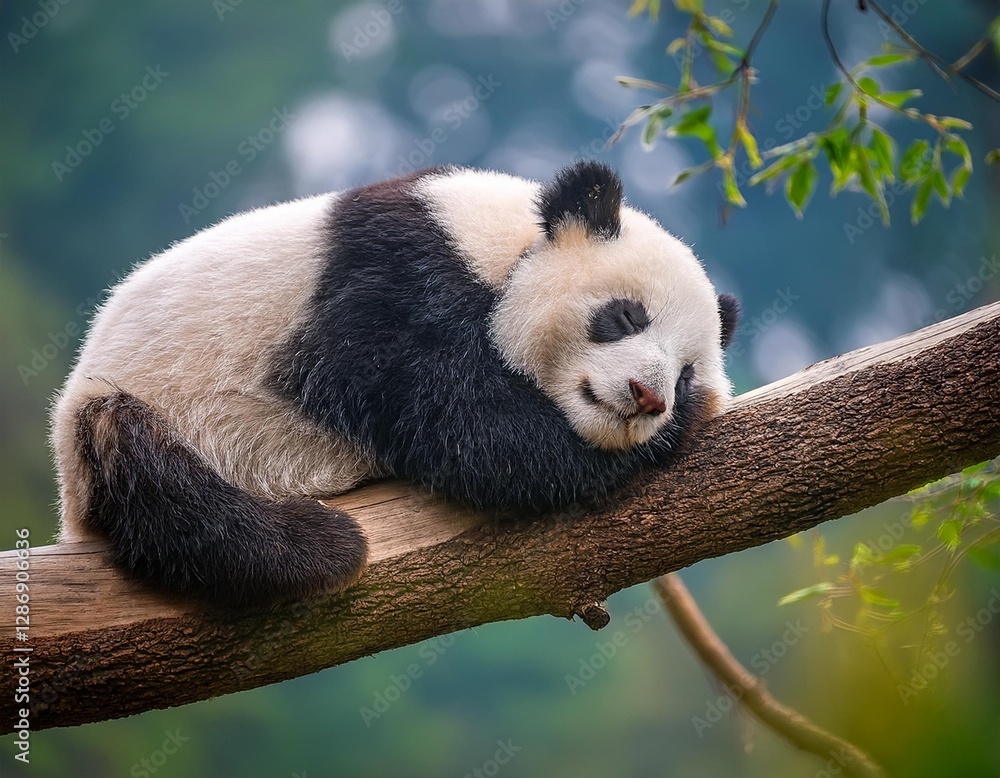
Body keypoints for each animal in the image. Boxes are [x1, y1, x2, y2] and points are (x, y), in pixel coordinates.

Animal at [51, 160, 740, 606]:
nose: (651, 399)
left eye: (686, 373)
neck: (500, 246)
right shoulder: (396, 270)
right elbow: (447, 412)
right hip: (132, 408)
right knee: (153, 476)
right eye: (626, 316)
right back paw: (317, 547)